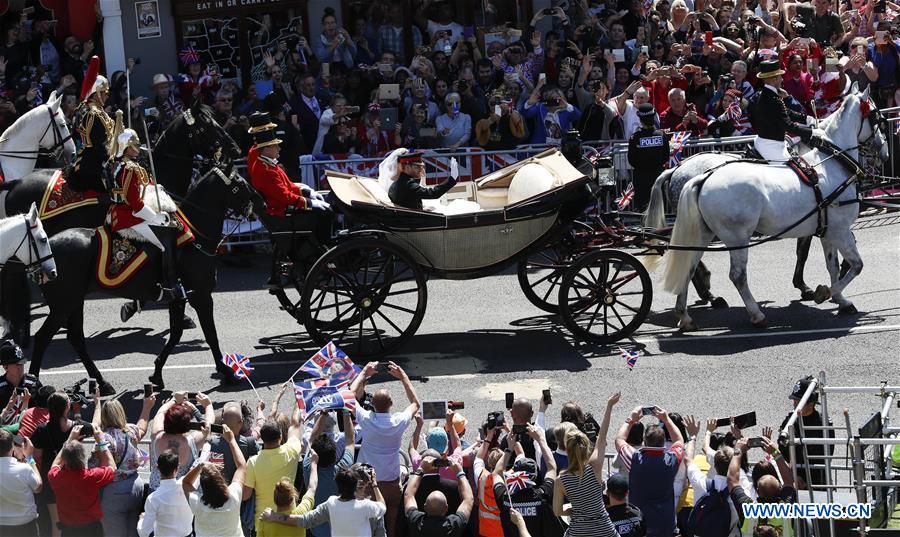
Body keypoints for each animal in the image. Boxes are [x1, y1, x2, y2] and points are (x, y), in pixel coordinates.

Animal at [28, 161, 266, 392]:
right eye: (239, 183)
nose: (262, 204)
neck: (196, 238)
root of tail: (45, 251)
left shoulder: (178, 298)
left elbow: (176, 333)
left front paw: (157, 374)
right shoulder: (201, 295)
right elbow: (211, 334)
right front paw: (226, 372)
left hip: (75, 301)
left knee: (75, 338)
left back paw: (102, 382)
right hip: (64, 304)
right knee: (43, 338)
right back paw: (32, 385)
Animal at [664, 87, 888, 330]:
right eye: (877, 116)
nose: (884, 150)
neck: (832, 164)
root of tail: (703, 176)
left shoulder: (826, 231)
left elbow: (833, 266)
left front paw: (840, 300)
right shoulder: (840, 230)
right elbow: (856, 265)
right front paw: (826, 293)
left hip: (703, 235)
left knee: (689, 267)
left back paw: (686, 315)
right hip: (737, 238)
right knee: (737, 276)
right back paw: (755, 314)